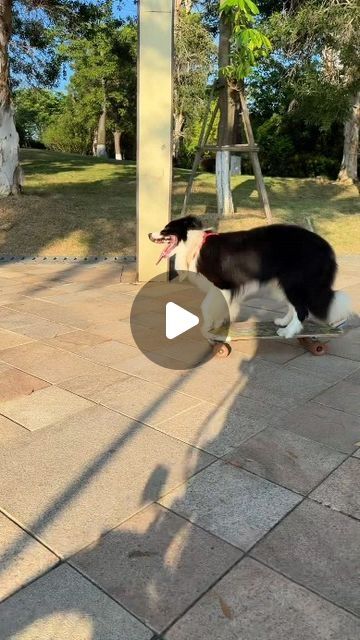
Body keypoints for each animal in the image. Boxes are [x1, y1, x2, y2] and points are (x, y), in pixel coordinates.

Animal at [148, 216, 350, 338]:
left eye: (166, 229)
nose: (149, 234)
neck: (194, 245)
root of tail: (326, 248)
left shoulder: (222, 284)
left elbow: (207, 306)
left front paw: (208, 327)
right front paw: (220, 324)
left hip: (294, 281)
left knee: (302, 309)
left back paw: (288, 332)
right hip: (286, 282)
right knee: (295, 306)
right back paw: (284, 322)